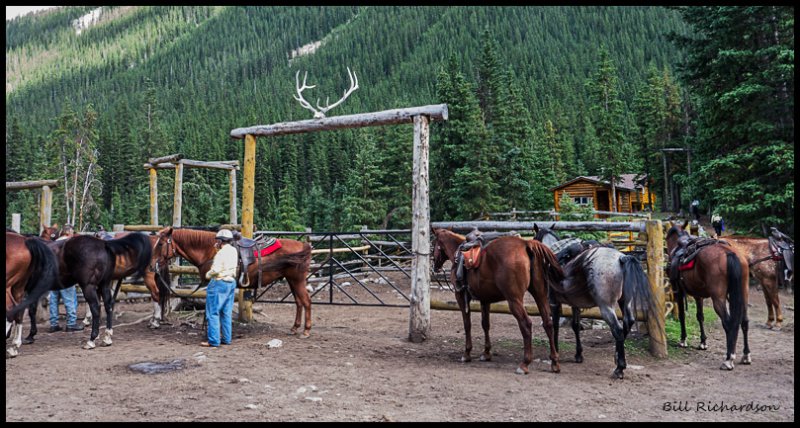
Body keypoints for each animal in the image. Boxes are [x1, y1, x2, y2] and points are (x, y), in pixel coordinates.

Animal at [156, 227, 316, 338]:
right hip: (292, 280)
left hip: (297, 280)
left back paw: (306, 331)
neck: (209, 251)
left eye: (161, 244)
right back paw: (294, 328)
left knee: (306, 301)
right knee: (299, 302)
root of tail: (304, 246)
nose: (155, 264)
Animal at [432, 227, 564, 374]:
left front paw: (467, 354)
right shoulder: (485, 300)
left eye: (433, 243)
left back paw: (525, 363)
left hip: (514, 300)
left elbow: (467, 324)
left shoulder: (460, 296)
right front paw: (486, 353)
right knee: (548, 323)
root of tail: (526, 244)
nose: (435, 266)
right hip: (540, 294)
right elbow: (485, 324)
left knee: (526, 324)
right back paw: (554, 362)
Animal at [536, 224, 660, 378]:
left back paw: (619, 368)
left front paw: (555, 353)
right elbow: (575, 326)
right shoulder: (575, 304)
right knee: (628, 321)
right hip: (625, 301)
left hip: (606, 306)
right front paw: (578, 355)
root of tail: (622, 258)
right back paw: (616, 356)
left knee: (618, 330)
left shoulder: (554, 302)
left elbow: (555, 327)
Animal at [664, 222, 752, 370]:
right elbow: (700, 316)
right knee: (744, 321)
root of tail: (729, 253)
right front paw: (703, 342)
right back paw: (746, 355)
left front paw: (683, 339)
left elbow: (682, 315)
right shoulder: (698, 295)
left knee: (728, 323)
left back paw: (729, 358)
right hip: (744, 294)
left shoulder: (679, 292)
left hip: (718, 299)